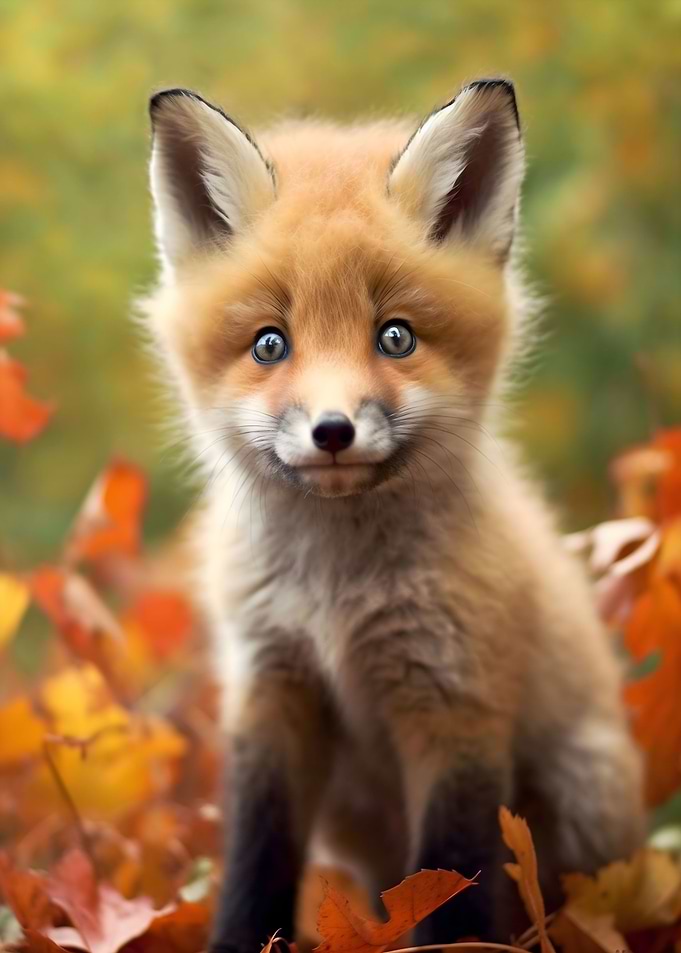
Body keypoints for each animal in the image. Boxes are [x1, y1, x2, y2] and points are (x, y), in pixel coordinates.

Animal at [142, 80, 644, 951]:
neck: (336, 596)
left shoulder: (455, 700)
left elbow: (453, 875)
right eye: (269, 344)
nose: (332, 430)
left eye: (395, 337)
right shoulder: (270, 686)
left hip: (581, 799)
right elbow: (255, 860)